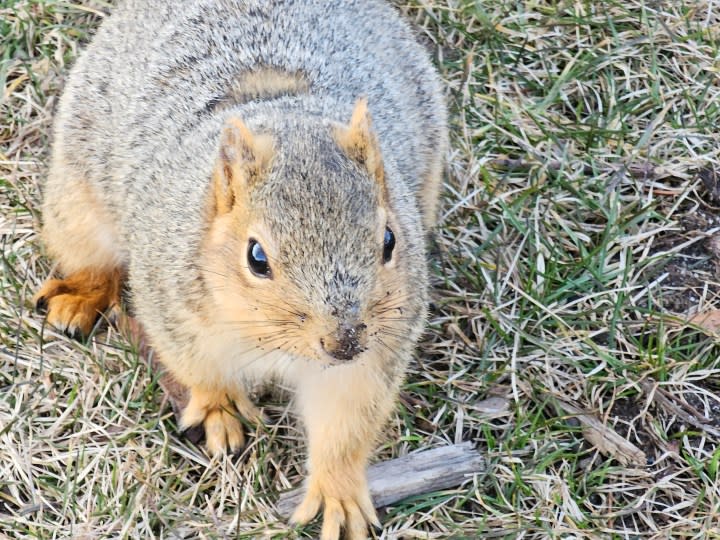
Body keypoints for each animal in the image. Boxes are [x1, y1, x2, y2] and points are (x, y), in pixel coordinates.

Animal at [36, 2, 448, 536]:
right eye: (257, 258)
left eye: (390, 241)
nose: (343, 342)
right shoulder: (175, 304)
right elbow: (200, 367)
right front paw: (220, 407)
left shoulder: (371, 356)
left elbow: (345, 420)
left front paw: (338, 493)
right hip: (77, 198)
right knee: (89, 255)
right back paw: (79, 297)